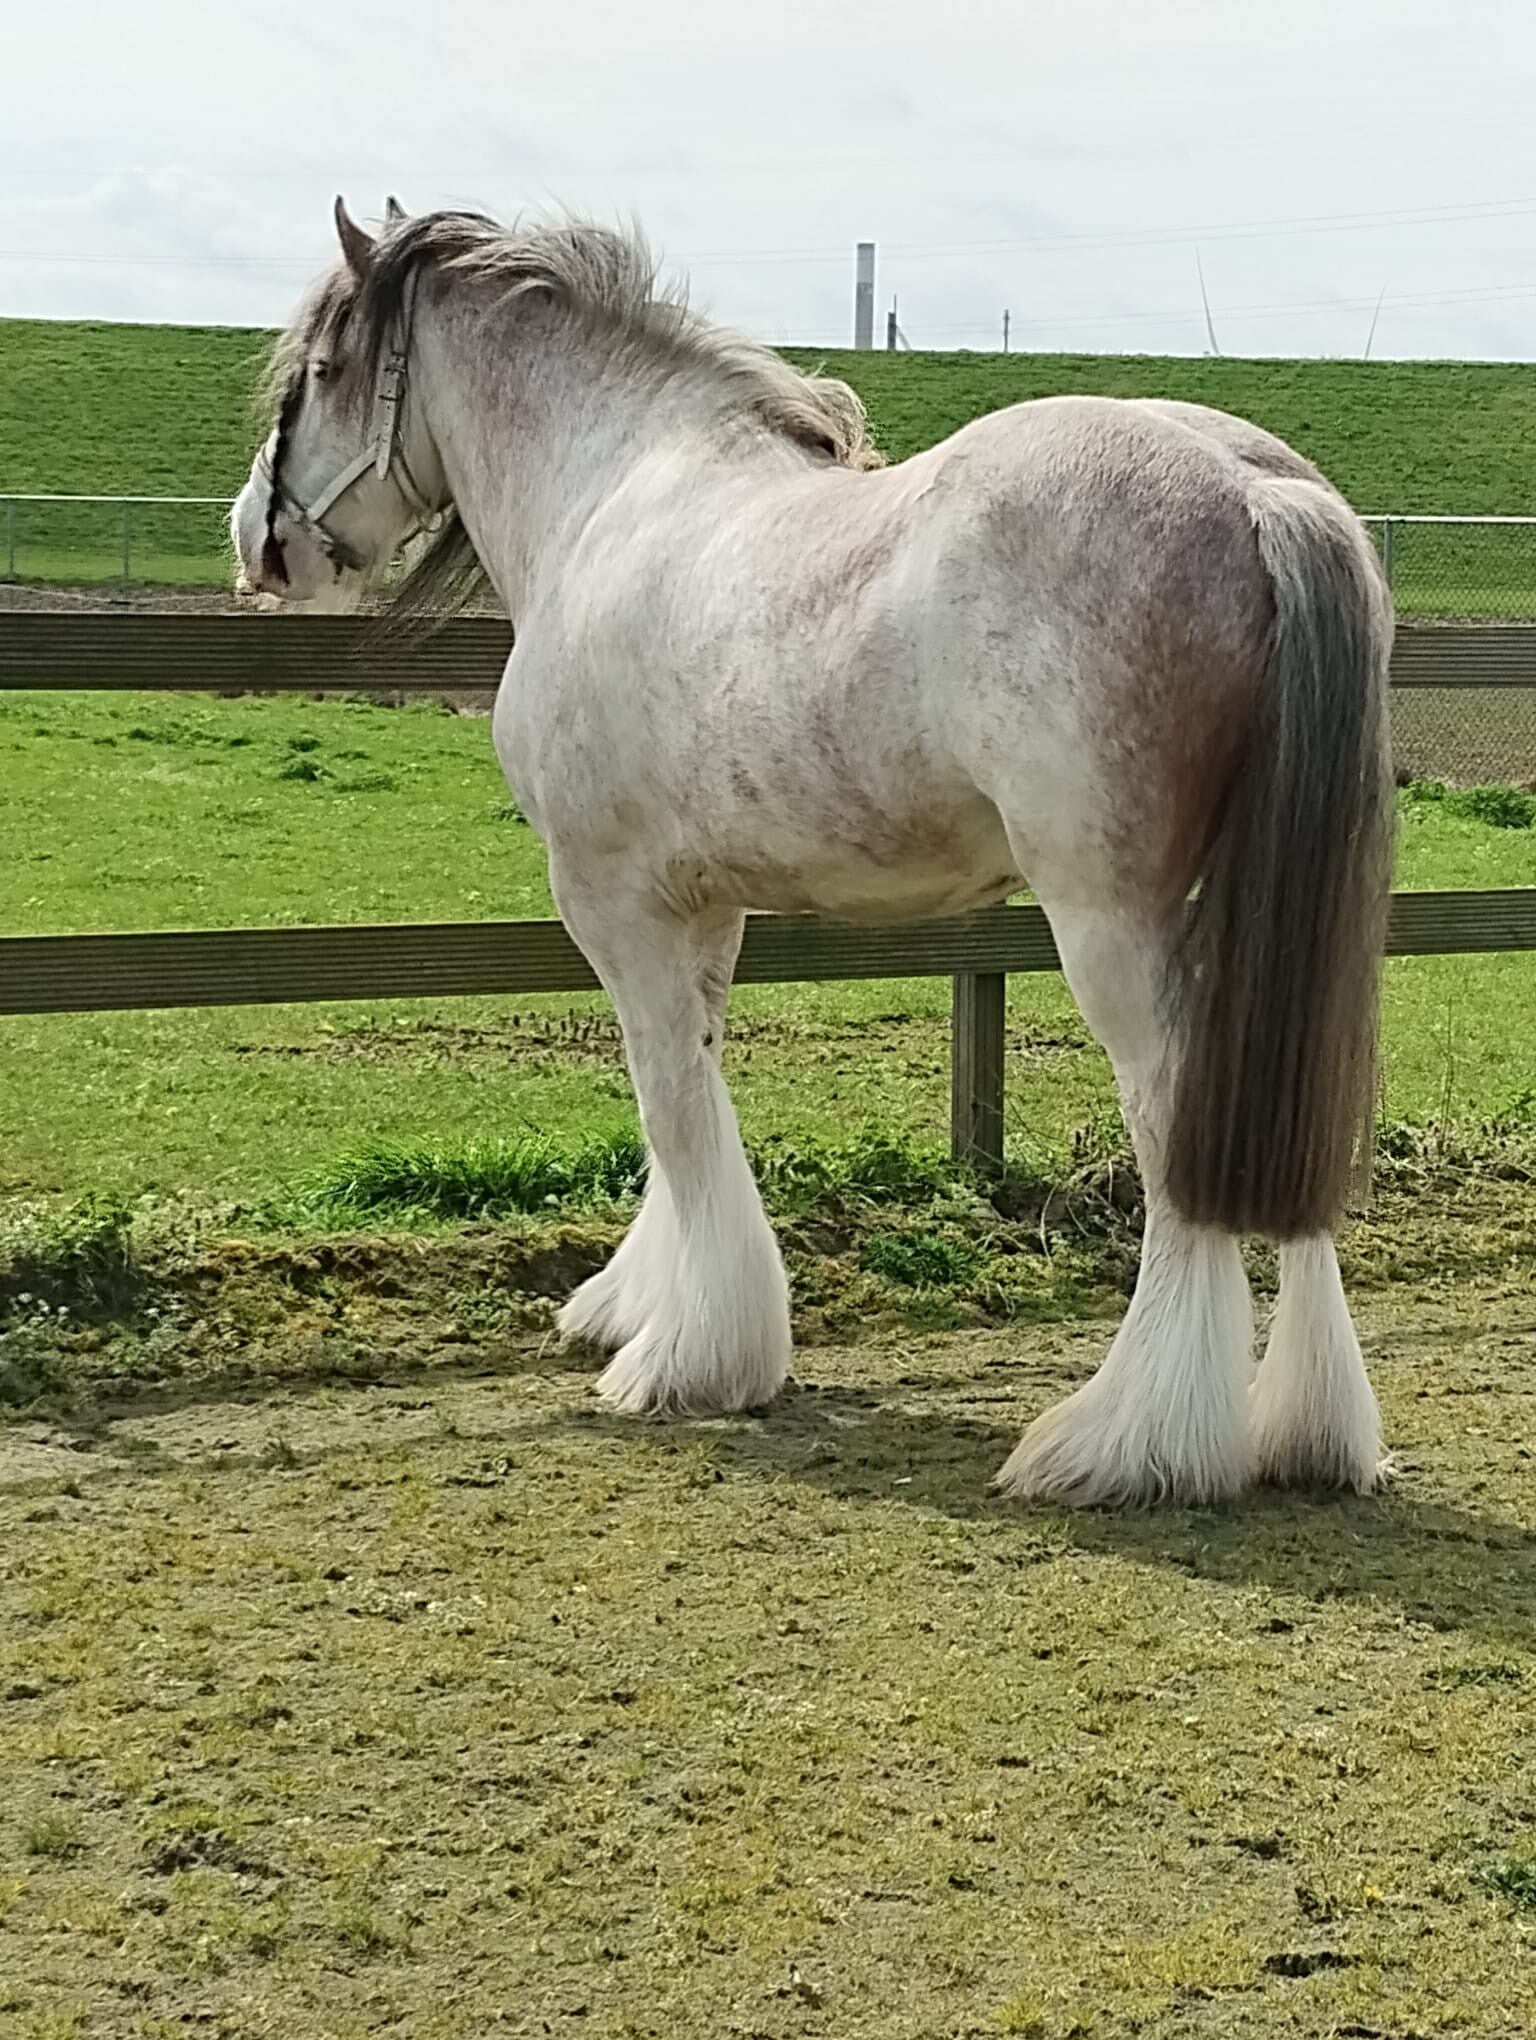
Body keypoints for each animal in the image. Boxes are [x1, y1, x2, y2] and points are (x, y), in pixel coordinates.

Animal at [231, 197, 1395, 1508]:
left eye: (321, 371)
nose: (259, 542)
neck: (615, 490)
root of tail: (1255, 494)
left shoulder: (612, 898)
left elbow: (670, 1105)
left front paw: (687, 1360)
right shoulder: (700, 907)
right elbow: (691, 1087)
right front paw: (643, 1306)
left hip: (1111, 924)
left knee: (1178, 1135)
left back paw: (1130, 1440)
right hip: (1268, 925)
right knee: (1280, 1134)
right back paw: (1309, 1433)